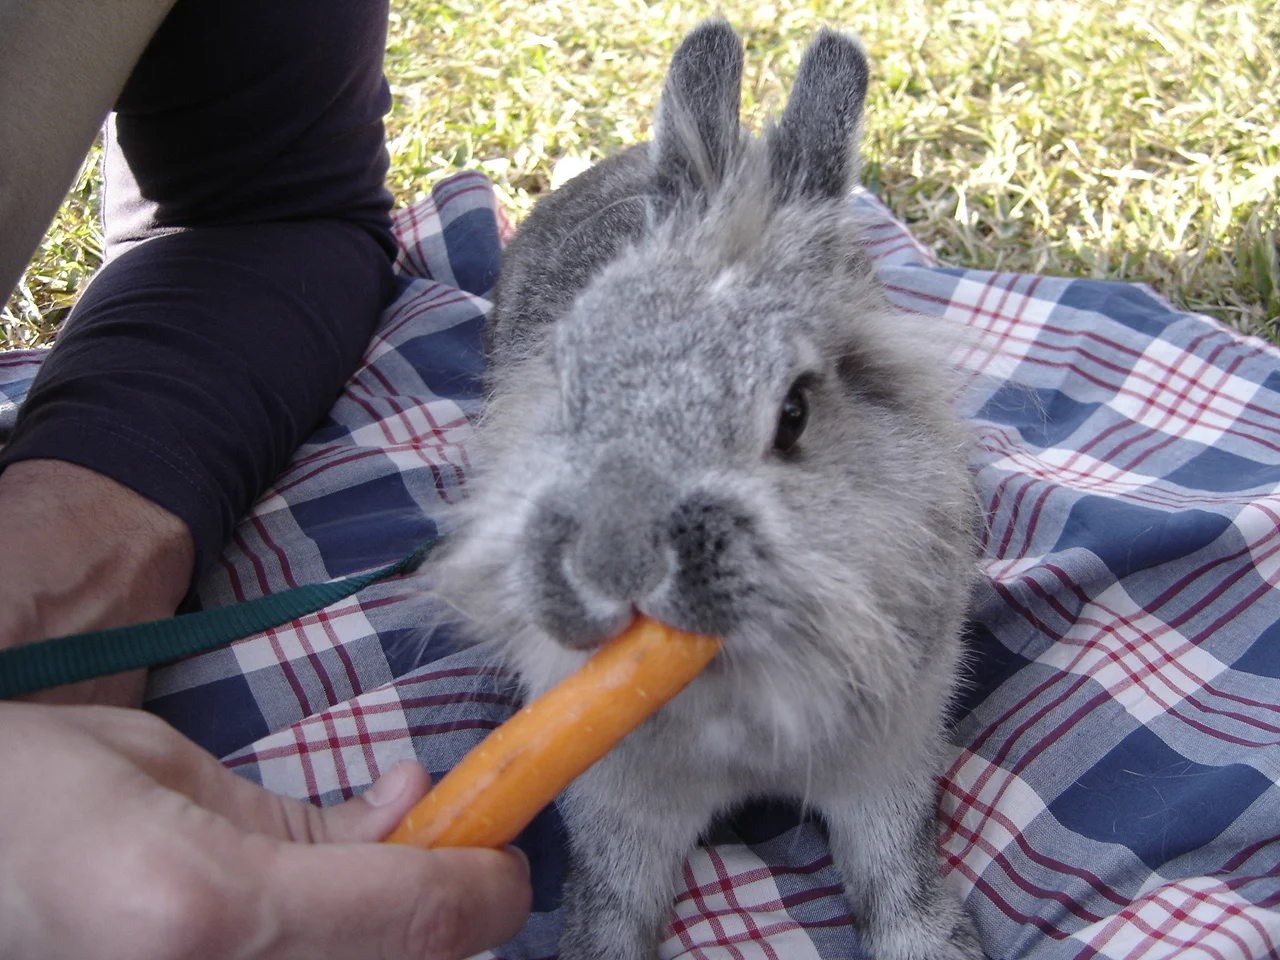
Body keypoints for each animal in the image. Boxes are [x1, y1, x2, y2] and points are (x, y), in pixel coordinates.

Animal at [431, 18, 983, 960]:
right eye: (569, 377)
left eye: (793, 414)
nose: (615, 566)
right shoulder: (620, 807)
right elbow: (614, 910)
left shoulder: (891, 765)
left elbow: (900, 882)